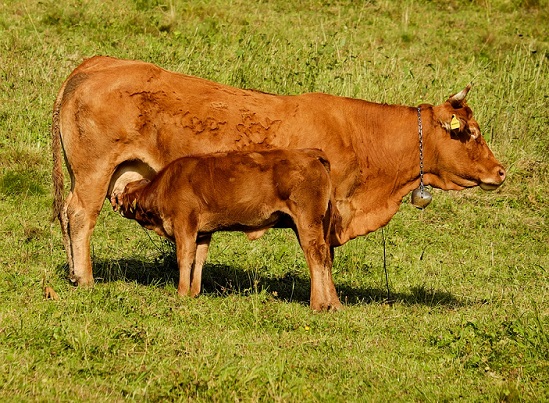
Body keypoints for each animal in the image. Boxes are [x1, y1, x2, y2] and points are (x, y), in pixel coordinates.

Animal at [114, 148, 340, 312]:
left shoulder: (184, 225)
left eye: (125, 192)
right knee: (326, 257)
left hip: (307, 221)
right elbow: (199, 260)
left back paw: (318, 304)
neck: (165, 186)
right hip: (312, 225)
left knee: (316, 255)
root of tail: (308, 154)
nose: (115, 201)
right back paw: (333, 304)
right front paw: (194, 292)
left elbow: (184, 258)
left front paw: (181, 292)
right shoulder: (203, 233)